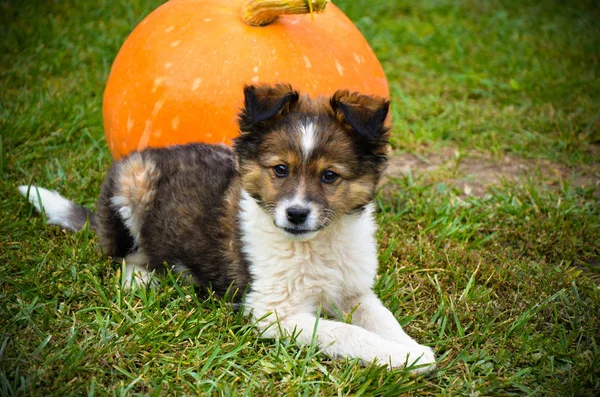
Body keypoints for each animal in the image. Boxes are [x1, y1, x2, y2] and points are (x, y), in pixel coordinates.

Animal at [18, 83, 436, 372]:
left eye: (330, 176)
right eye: (280, 169)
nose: (296, 214)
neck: (316, 244)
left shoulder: (353, 292)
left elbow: (381, 318)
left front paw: (412, 350)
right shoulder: (271, 312)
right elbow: (345, 332)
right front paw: (398, 358)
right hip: (134, 182)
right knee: (122, 254)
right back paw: (143, 279)